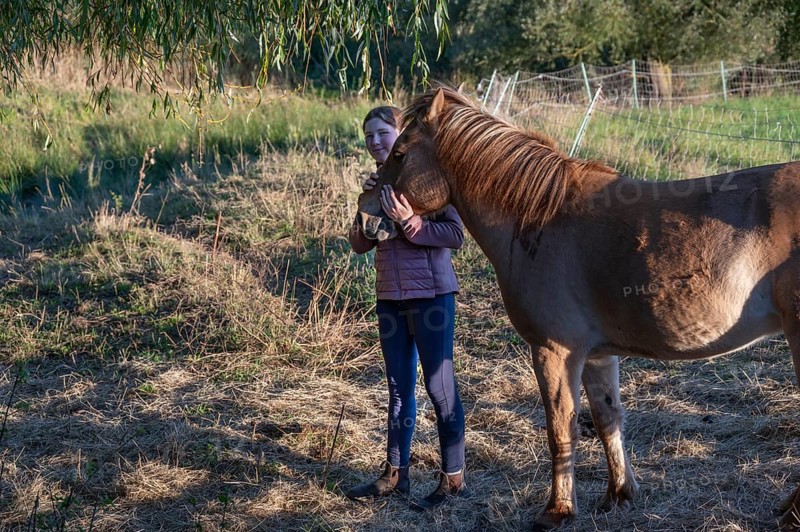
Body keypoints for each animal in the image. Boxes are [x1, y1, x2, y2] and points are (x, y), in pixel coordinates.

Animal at [355, 85, 800, 530]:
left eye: (399, 153)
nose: (364, 215)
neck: (539, 217)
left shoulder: (554, 351)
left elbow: (561, 429)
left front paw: (558, 509)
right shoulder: (597, 356)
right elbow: (607, 420)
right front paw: (619, 494)